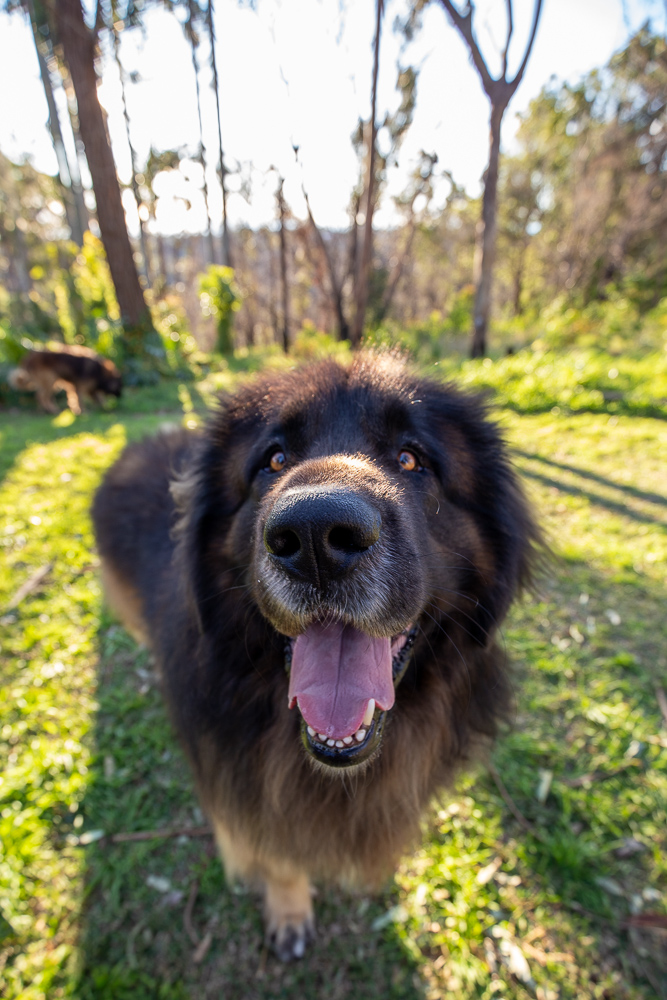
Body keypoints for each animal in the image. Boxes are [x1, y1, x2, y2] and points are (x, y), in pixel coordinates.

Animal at [92, 354, 544, 960]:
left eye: (412, 458)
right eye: (274, 459)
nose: (314, 536)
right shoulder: (252, 797)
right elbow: (281, 858)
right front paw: (290, 912)